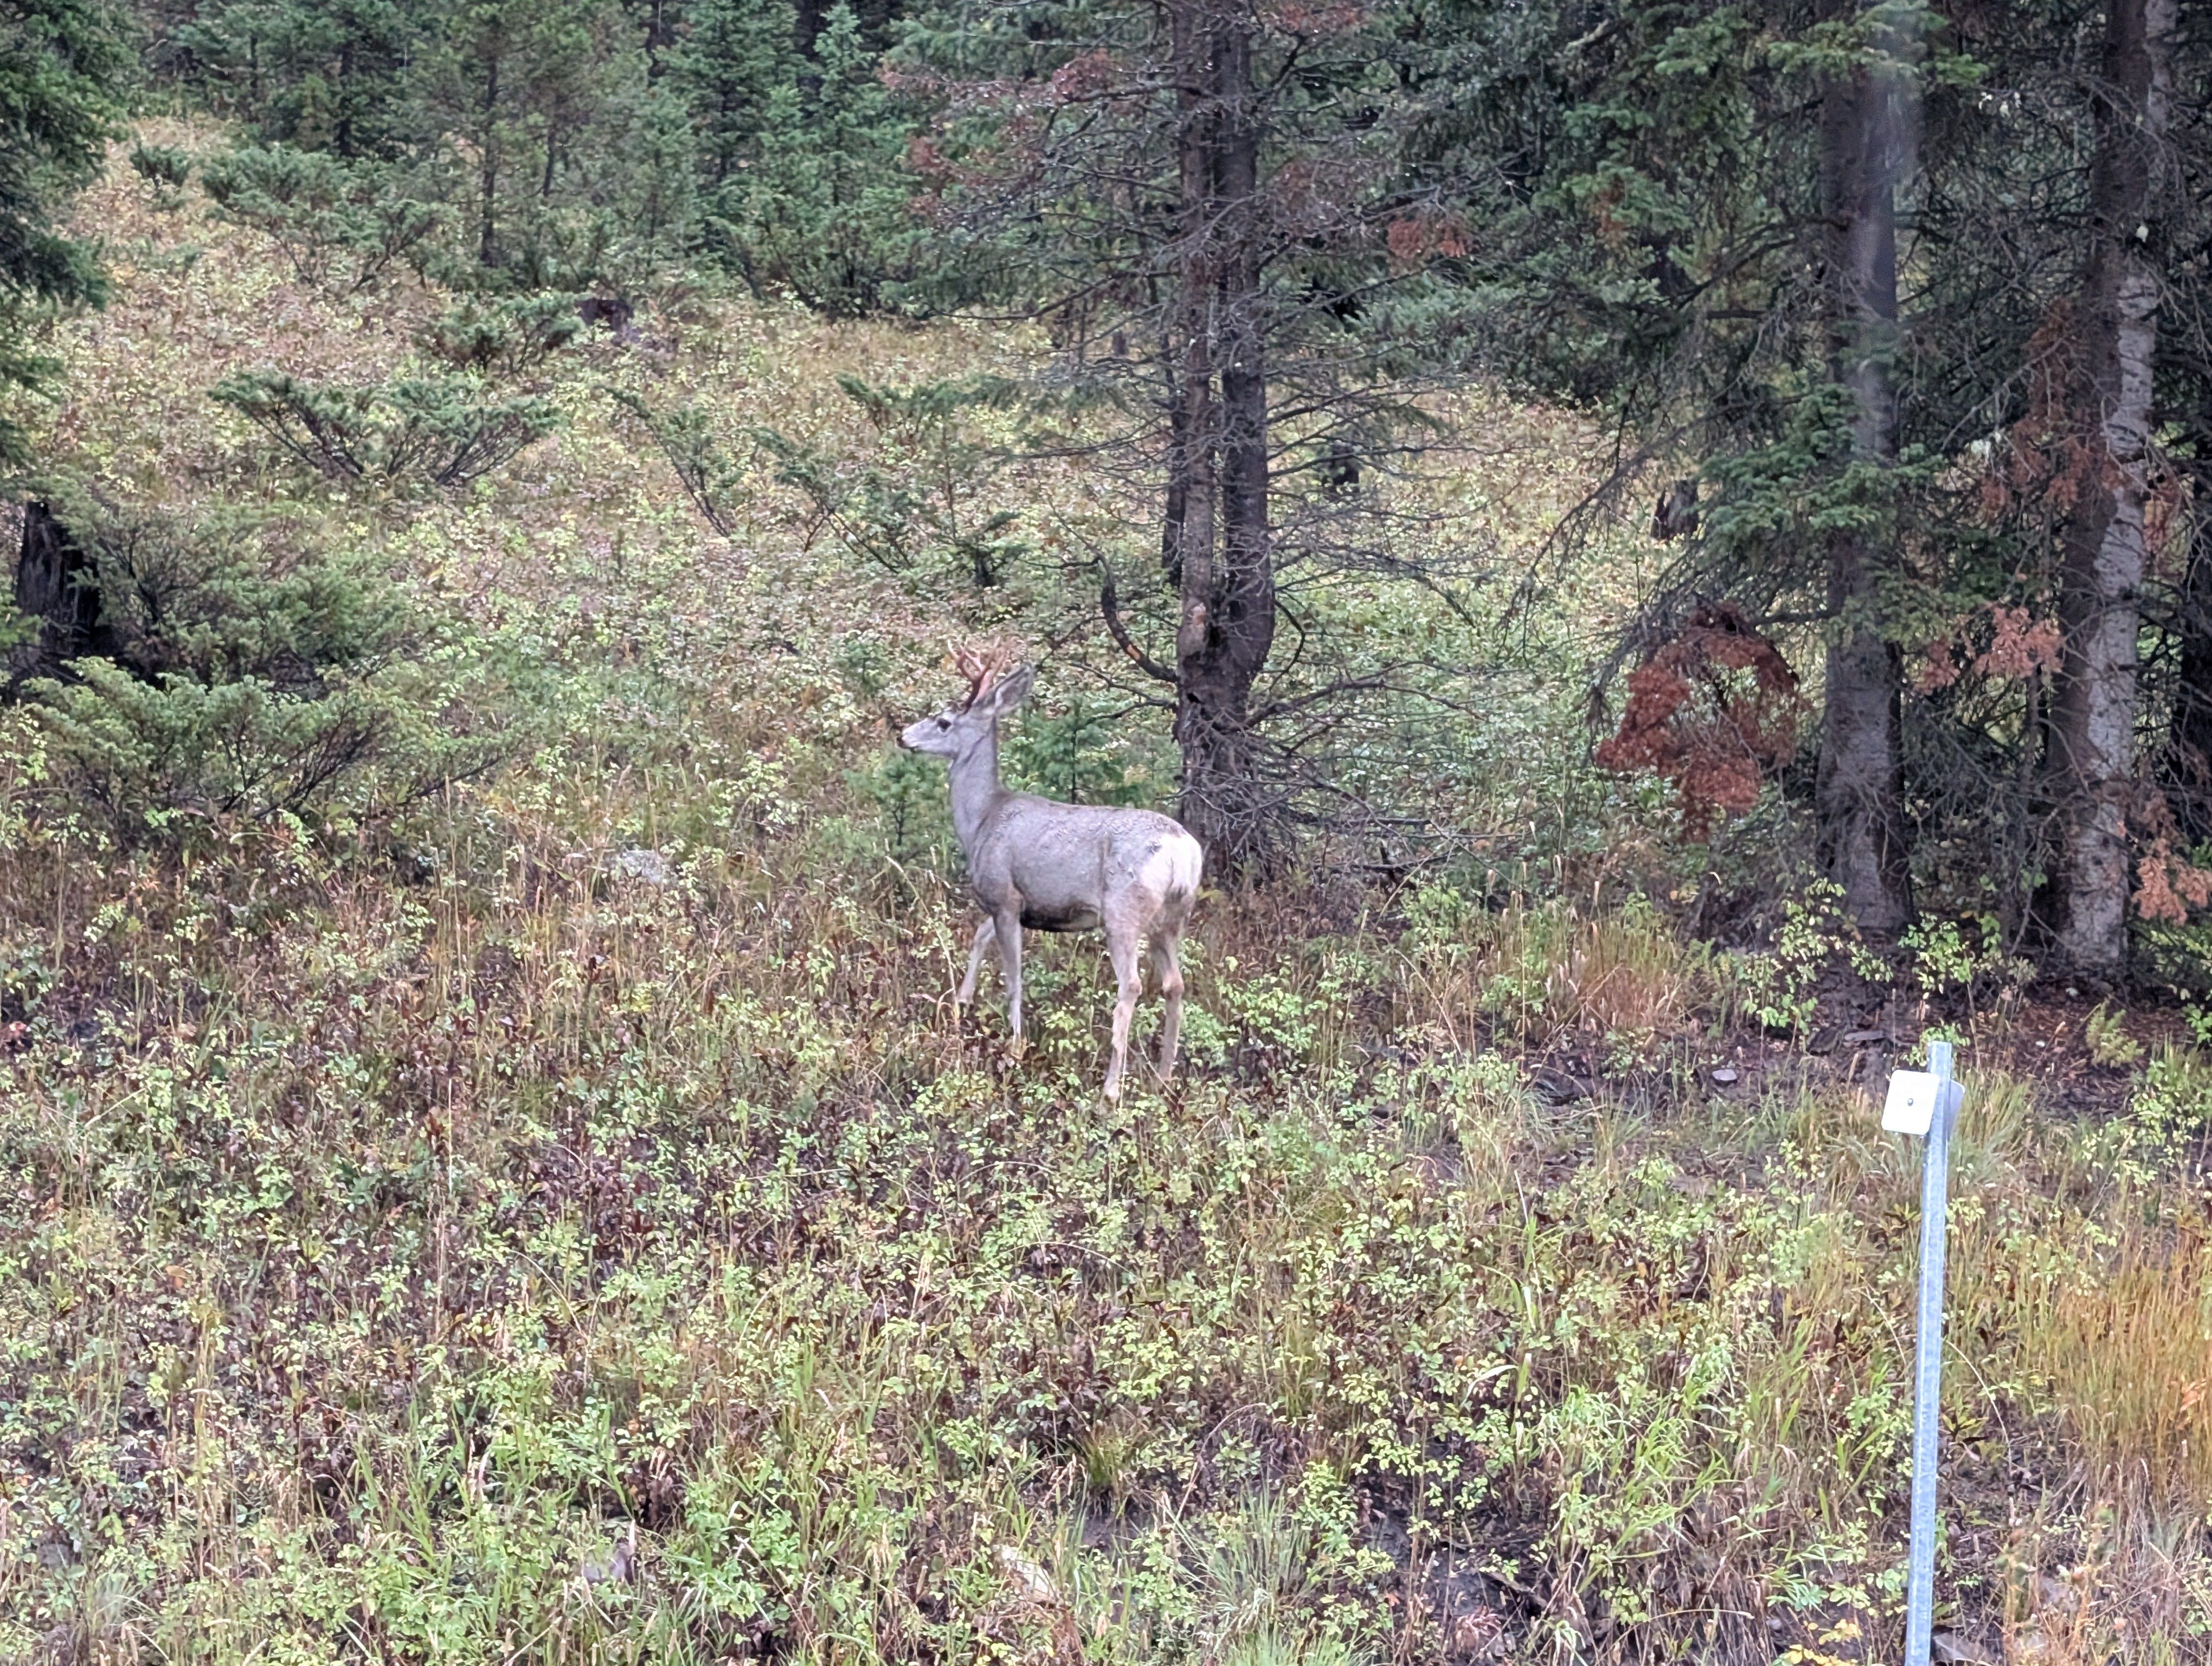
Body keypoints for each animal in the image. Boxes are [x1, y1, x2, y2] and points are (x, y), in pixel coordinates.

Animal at [900, 647, 1204, 1100]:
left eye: (943, 721)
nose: (903, 736)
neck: (982, 821)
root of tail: (1182, 850)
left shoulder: (1004, 895)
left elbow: (1013, 976)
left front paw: (1014, 1043)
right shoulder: (1017, 905)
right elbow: (978, 937)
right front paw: (962, 1002)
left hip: (1124, 910)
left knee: (1132, 985)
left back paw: (1111, 1088)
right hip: (1172, 918)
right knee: (1176, 983)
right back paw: (1164, 1075)